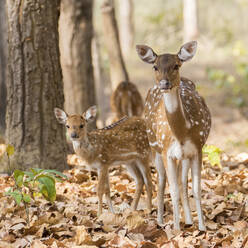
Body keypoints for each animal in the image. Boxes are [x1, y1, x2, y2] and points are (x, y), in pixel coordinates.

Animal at [136, 40, 211, 231]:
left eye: (176, 65)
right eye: (155, 66)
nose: (164, 83)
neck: (181, 132)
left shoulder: (197, 147)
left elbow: (196, 189)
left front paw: (202, 227)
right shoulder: (166, 152)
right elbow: (173, 189)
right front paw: (176, 228)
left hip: (182, 156)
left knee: (182, 181)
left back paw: (189, 221)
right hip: (154, 146)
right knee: (162, 181)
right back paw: (161, 221)